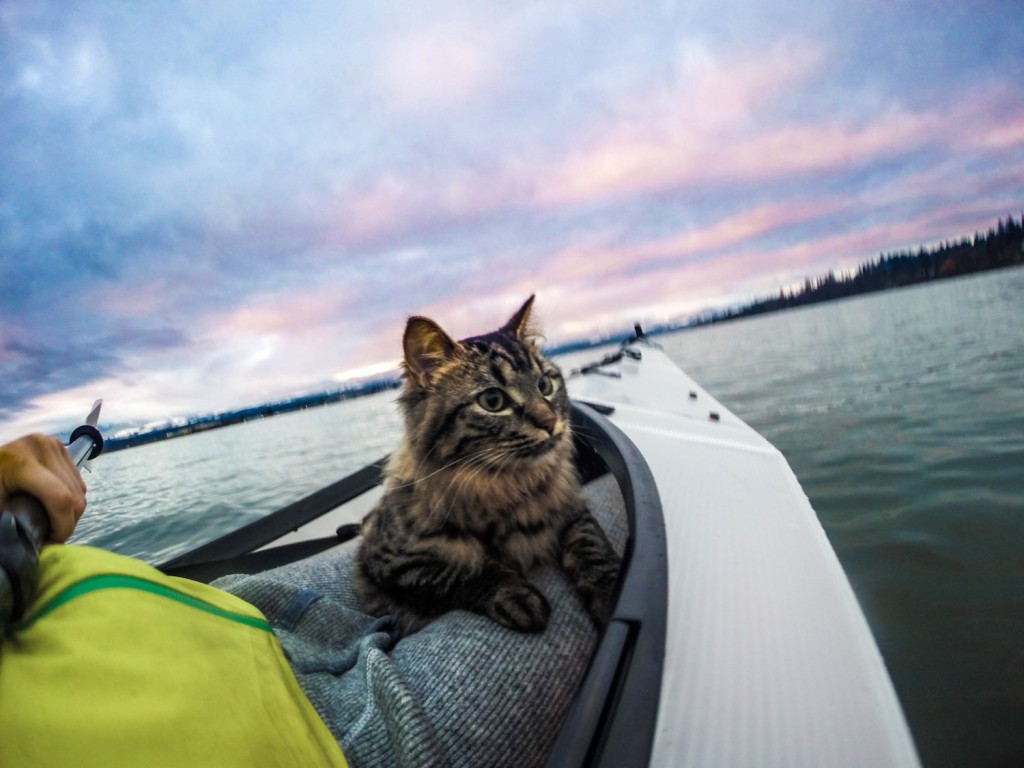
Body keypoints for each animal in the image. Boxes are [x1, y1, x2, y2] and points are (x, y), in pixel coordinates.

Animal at [356, 296, 618, 634]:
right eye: (493, 401)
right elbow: (464, 572)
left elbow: (591, 549)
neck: (505, 484)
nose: (550, 423)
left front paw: (612, 594)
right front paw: (519, 598)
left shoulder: (573, 509)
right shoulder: (387, 561)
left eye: (544, 385)